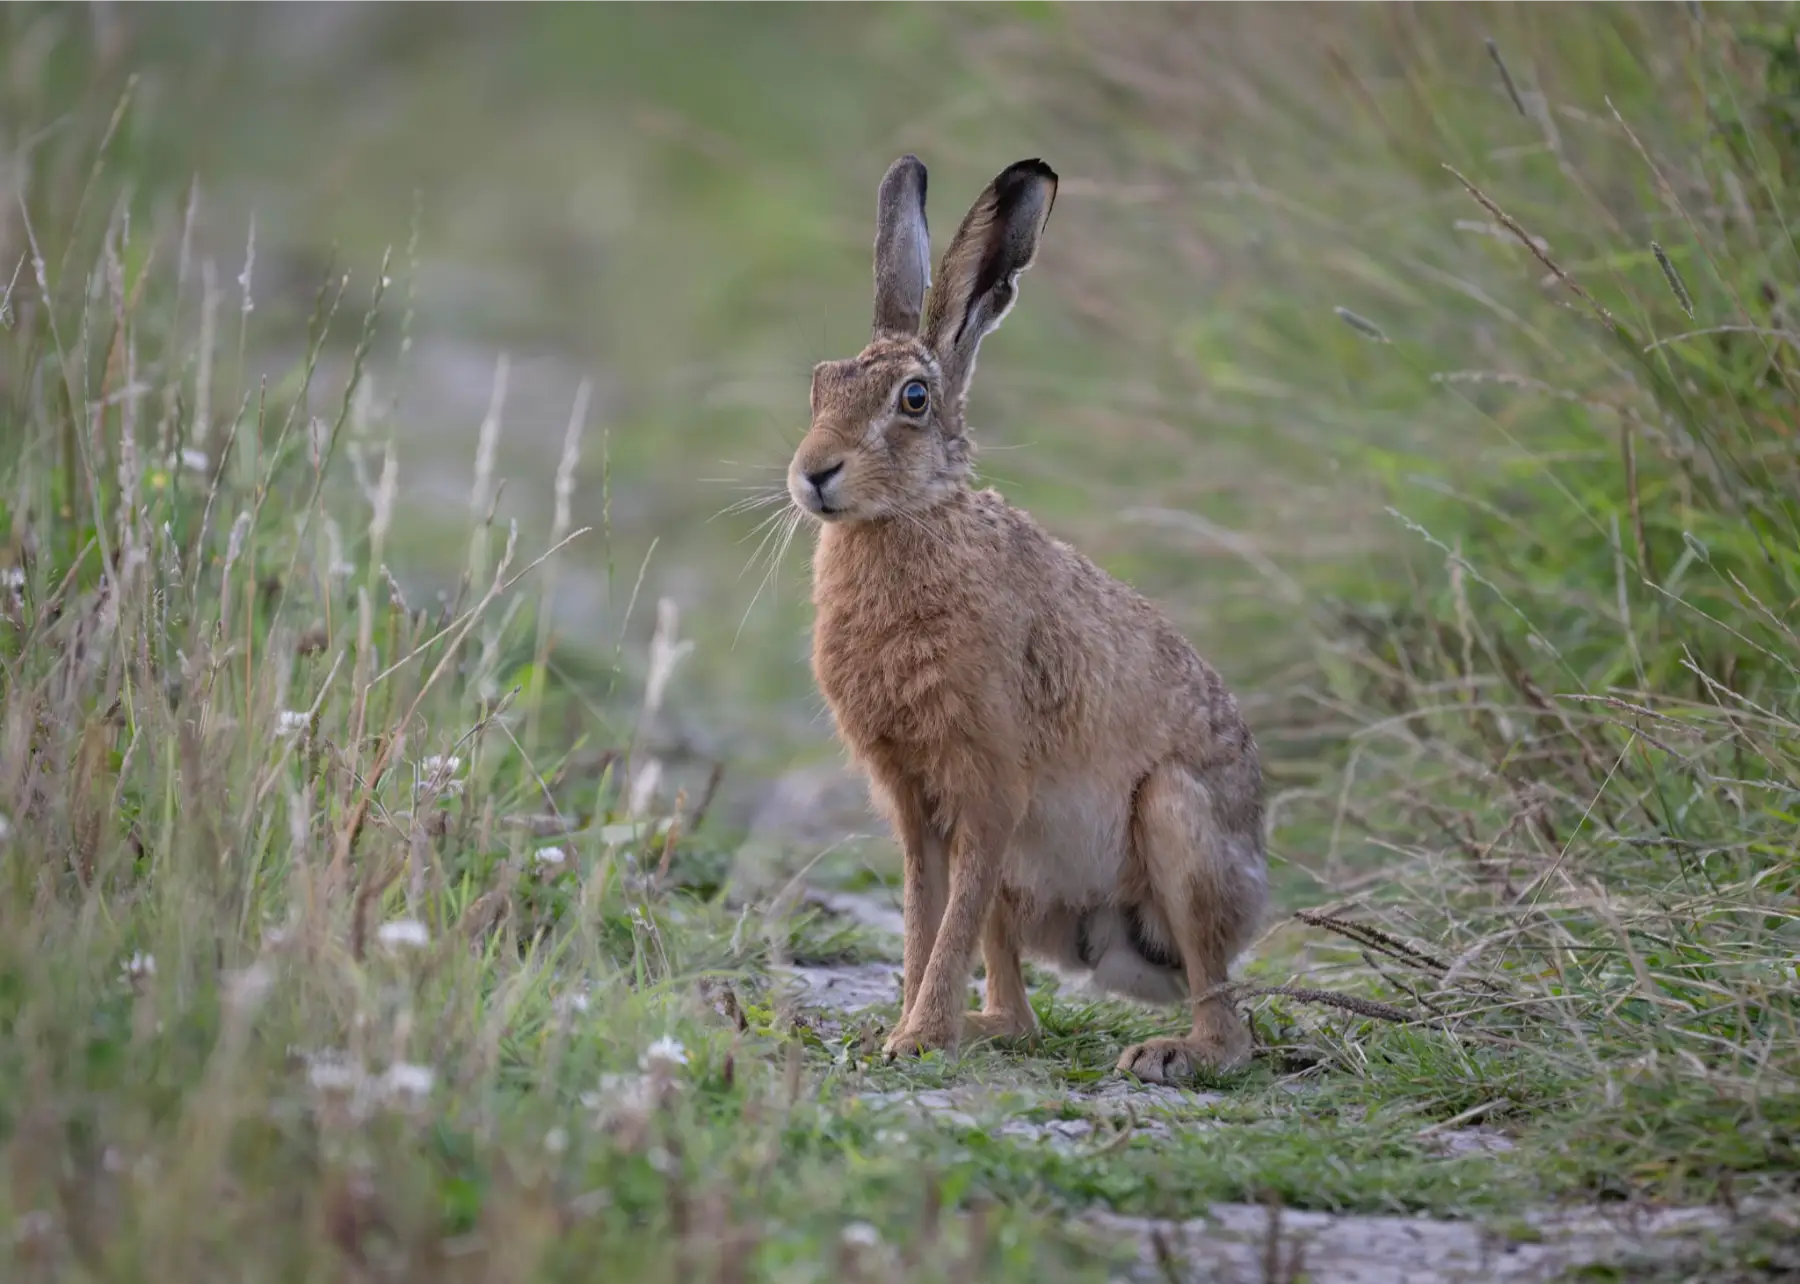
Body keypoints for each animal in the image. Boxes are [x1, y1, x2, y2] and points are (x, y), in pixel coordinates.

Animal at [785, 154, 1268, 1082]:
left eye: (913, 400)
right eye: (819, 385)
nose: (813, 473)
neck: (913, 520)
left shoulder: (990, 784)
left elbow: (946, 923)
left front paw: (914, 1038)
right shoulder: (913, 800)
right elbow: (924, 914)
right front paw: (900, 1031)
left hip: (1177, 828)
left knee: (1226, 1015)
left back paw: (1171, 1054)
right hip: (1027, 884)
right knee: (1021, 1015)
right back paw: (981, 1030)